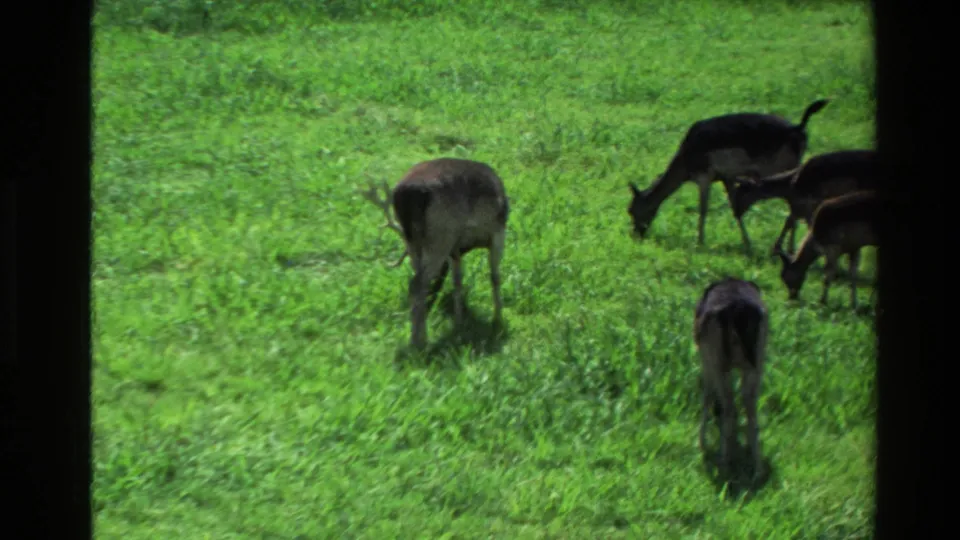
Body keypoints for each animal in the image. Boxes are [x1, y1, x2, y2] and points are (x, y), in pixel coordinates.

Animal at [360, 158, 510, 350]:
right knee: (416, 284)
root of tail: (409, 194)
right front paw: (498, 319)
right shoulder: (497, 232)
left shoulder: (455, 249)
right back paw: (419, 341)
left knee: (417, 283)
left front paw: (459, 322)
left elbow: (457, 281)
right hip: (440, 235)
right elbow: (495, 277)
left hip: (414, 242)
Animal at [628, 98, 830, 252]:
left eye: (631, 210)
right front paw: (747, 244)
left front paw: (700, 241)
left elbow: (703, 208)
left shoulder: (704, 174)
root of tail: (799, 129)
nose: (636, 234)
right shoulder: (727, 177)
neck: (685, 166)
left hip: (782, 166)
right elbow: (735, 208)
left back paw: (789, 248)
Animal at [694, 276, 769, 483]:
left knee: (729, 407)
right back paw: (757, 469)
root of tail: (739, 309)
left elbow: (707, 396)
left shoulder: (706, 359)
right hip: (758, 359)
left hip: (718, 358)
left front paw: (701, 442)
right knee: (750, 408)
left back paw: (724, 463)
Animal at [727, 149, 878, 257]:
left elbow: (798, 224)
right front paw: (786, 249)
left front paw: (780, 249)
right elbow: (791, 222)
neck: (789, 188)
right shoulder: (799, 206)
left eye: (740, 193)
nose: (735, 212)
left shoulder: (808, 205)